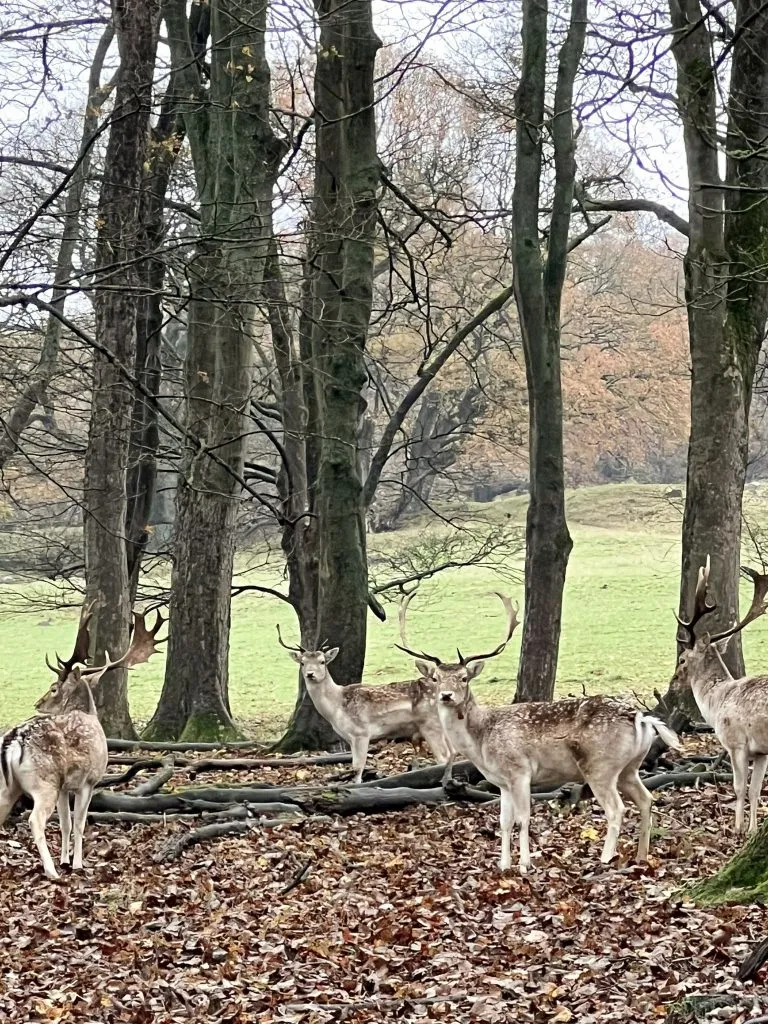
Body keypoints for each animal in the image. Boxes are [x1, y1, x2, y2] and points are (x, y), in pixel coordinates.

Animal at [0, 604, 164, 879]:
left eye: (53, 688)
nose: (37, 703)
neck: (88, 713)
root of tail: (14, 740)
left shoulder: (65, 787)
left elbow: (65, 823)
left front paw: (66, 860)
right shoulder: (89, 779)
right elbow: (79, 821)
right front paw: (76, 863)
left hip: (10, 786)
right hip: (45, 783)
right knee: (35, 820)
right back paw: (50, 871)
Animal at [277, 623, 453, 784]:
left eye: (322, 662)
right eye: (302, 662)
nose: (310, 674)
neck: (336, 708)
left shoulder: (361, 733)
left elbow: (357, 769)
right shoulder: (348, 738)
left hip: (431, 726)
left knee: (443, 758)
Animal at [396, 591, 681, 874]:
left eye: (464, 678)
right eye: (435, 678)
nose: (446, 695)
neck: (482, 740)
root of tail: (640, 717)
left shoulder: (520, 771)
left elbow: (523, 818)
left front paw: (525, 865)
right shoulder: (502, 782)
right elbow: (504, 822)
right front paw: (503, 865)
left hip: (600, 767)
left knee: (616, 809)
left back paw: (605, 859)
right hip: (629, 768)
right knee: (646, 799)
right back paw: (641, 857)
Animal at [672, 556, 768, 834]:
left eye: (682, 659)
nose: (673, 682)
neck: (717, 702)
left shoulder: (736, 742)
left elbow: (739, 787)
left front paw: (737, 828)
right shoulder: (761, 752)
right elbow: (755, 789)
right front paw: (752, 830)